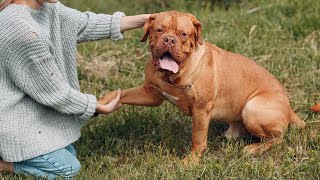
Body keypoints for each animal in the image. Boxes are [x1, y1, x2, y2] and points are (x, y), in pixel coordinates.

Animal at [99, 10, 306, 163]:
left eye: (183, 34)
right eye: (159, 30)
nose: (169, 40)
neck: (173, 76)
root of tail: (289, 108)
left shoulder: (201, 110)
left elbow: (197, 137)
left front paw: (191, 161)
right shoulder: (151, 93)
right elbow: (120, 93)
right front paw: (102, 102)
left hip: (252, 108)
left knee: (277, 137)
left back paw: (254, 148)